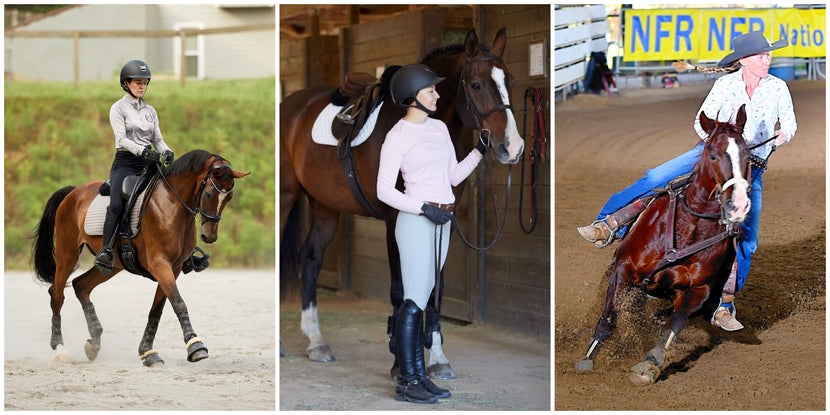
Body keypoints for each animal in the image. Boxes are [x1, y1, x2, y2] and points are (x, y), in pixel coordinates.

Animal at [30, 151, 250, 366]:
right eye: (210, 194)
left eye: (229, 197)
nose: (209, 236)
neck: (171, 204)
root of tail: (74, 192)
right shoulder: (159, 263)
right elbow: (178, 302)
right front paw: (196, 346)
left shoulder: (174, 267)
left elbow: (157, 310)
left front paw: (147, 352)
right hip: (67, 254)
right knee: (57, 294)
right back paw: (60, 349)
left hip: (112, 265)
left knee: (81, 285)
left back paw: (94, 343)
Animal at [282, 25, 528, 376]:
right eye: (477, 84)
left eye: (511, 81)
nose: (513, 147)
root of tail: (290, 106)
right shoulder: (395, 218)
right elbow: (401, 288)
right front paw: (400, 362)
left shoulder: (443, 219)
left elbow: (435, 286)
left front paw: (437, 358)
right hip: (286, 196)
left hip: (326, 208)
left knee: (310, 259)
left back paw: (317, 342)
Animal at [580, 105, 752, 386]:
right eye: (713, 154)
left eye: (748, 155)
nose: (738, 205)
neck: (689, 227)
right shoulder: (623, 269)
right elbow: (609, 317)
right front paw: (588, 357)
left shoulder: (698, 290)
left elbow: (675, 322)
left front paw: (649, 364)